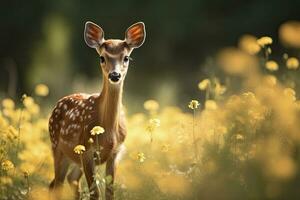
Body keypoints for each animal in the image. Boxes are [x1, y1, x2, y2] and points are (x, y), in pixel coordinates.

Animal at [48, 21, 146, 199]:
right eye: (102, 57)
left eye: (126, 58)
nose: (115, 75)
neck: (108, 132)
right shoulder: (86, 150)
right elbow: (95, 193)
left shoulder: (116, 152)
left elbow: (109, 192)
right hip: (57, 147)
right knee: (57, 184)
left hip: (73, 158)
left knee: (70, 179)